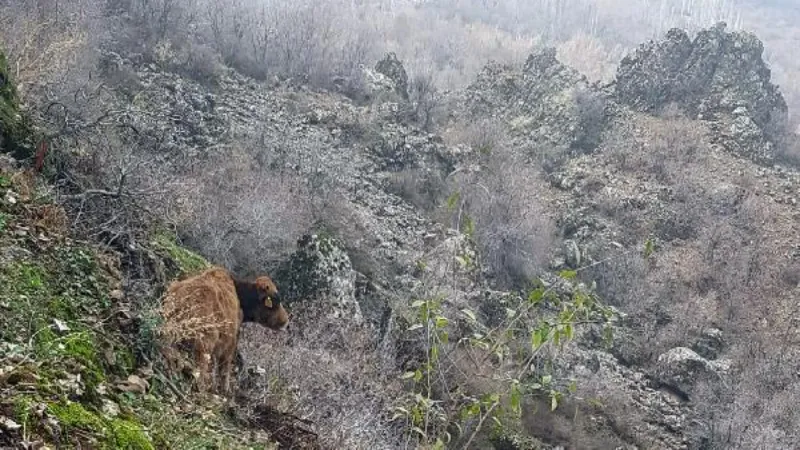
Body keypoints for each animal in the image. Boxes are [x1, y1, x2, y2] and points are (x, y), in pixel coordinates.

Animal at [161, 266, 290, 396]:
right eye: (275, 301)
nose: (286, 321)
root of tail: (182, 300)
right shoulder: (230, 341)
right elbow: (224, 367)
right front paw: (225, 390)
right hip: (203, 345)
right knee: (200, 370)